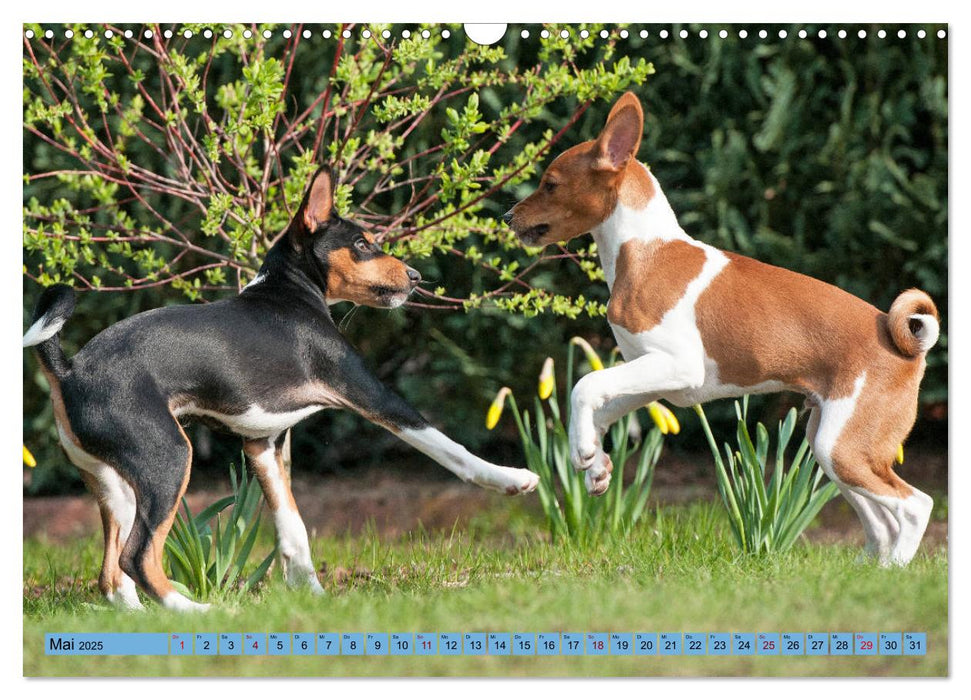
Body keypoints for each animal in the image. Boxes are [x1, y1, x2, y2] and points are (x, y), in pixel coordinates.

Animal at [24, 167, 540, 608]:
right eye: (362, 244)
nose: (414, 277)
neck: (289, 291)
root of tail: (69, 370)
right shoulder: (370, 393)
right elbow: (449, 448)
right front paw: (511, 478)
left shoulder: (264, 444)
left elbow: (293, 528)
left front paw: (312, 596)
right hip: (167, 457)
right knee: (137, 557)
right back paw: (196, 611)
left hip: (115, 485)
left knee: (112, 575)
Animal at [504, 93, 936, 568]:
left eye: (550, 184)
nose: (506, 216)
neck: (646, 252)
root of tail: (905, 343)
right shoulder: (654, 376)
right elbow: (601, 406)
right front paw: (596, 465)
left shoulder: (678, 366)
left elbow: (584, 385)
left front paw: (583, 451)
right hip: (832, 444)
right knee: (880, 521)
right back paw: (873, 570)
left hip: (843, 447)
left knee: (914, 506)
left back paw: (896, 568)